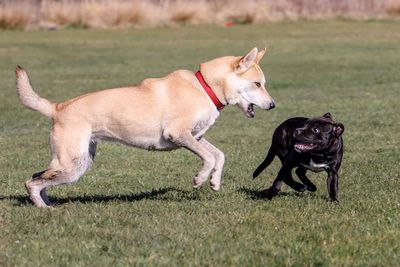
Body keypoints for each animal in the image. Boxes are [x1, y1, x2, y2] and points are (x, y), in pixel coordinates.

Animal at [14, 47, 276, 208]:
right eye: (257, 84)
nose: (273, 105)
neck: (205, 87)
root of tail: (58, 108)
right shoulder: (179, 134)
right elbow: (209, 158)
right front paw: (200, 179)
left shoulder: (196, 136)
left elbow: (219, 155)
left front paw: (215, 182)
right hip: (73, 164)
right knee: (31, 181)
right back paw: (43, 208)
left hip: (77, 162)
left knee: (39, 176)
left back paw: (46, 202)